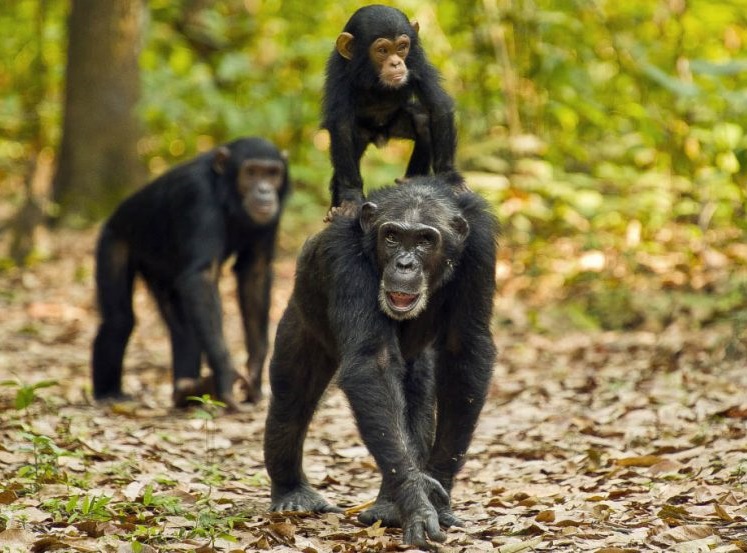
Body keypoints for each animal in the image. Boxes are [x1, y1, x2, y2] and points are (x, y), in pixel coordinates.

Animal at [91, 137, 290, 410]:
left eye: (272, 173)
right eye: (251, 172)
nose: (264, 190)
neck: (227, 195)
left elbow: (255, 275)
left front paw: (255, 374)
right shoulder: (198, 196)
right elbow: (202, 278)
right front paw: (226, 376)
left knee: (184, 330)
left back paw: (187, 391)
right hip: (114, 238)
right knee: (119, 321)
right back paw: (109, 393)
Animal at [266, 175, 500, 544]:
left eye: (425, 240)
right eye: (392, 237)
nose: (404, 264)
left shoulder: (480, 249)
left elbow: (465, 350)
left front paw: (436, 490)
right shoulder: (343, 256)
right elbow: (372, 362)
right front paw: (416, 499)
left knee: (415, 403)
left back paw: (388, 507)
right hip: (301, 318)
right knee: (293, 398)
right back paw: (293, 493)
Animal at [322, 5, 458, 220]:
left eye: (401, 47)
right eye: (382, 50)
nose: (396, 63)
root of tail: (380, 135)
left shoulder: (416, 62)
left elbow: (438, 105)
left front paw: (450, 178)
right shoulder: (339, 71)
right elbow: (341, 125)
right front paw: (351, 198)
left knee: (422, 120)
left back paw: (411, 181)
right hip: (361, 134)